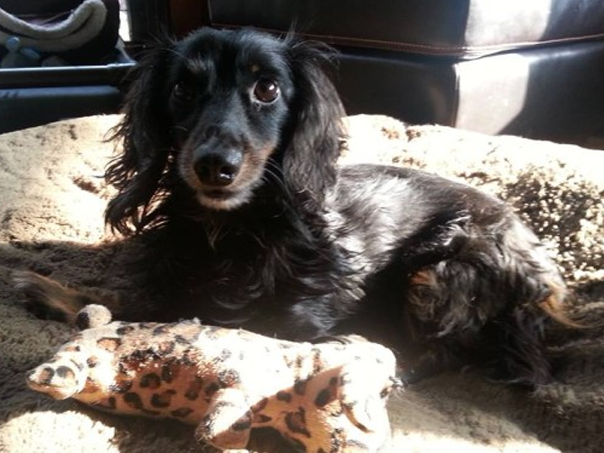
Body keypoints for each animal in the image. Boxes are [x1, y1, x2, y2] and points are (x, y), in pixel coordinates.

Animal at [16, 27, 570, 386]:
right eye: (182, 88)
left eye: (267, 88)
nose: (214, 166)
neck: (229, 230)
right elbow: (132, 300)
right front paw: (56, 292)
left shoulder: (292, 323)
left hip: (436, 272)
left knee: (441, 351)